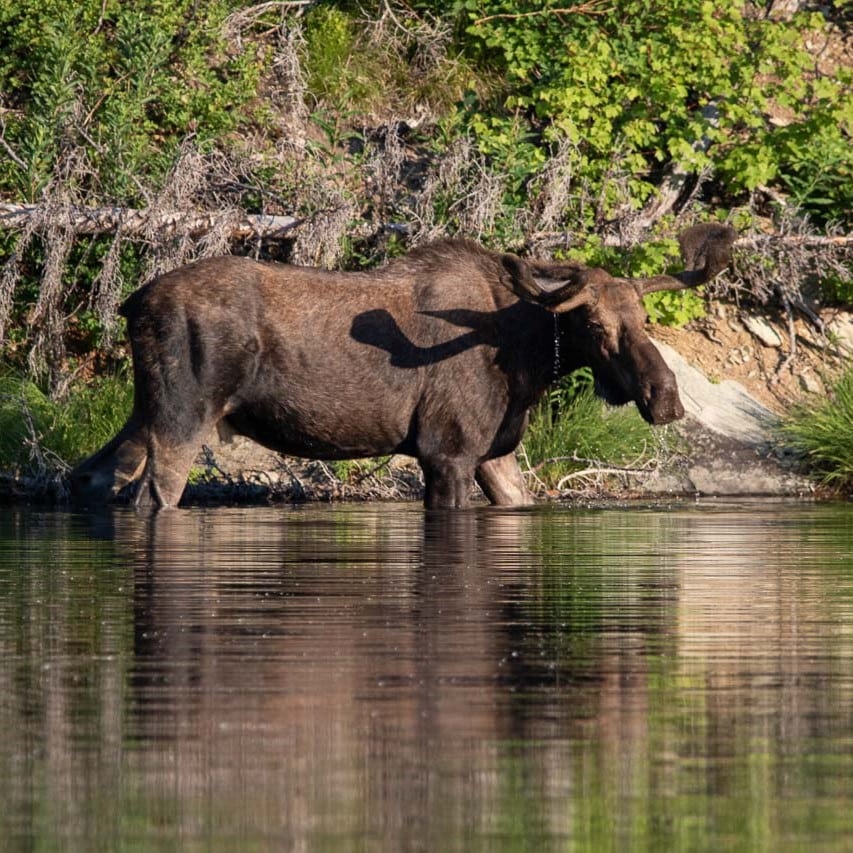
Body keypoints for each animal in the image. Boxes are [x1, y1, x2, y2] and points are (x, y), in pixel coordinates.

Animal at [71, 223, 732, 510]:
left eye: (645, 317)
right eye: (594, 327)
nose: (666, 397)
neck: (529, 363)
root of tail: (132, 304)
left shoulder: (494, 454)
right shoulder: (447, 451)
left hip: (144, 412)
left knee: (90, 477)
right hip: (183, 416)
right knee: (152, 496)